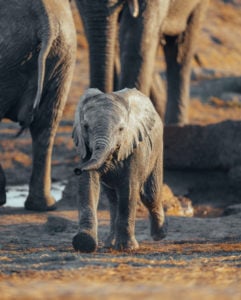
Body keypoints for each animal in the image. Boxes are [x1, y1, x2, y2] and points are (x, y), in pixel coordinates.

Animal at [70, 88, 167, 252]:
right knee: (113, 199)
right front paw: (84, 242)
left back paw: (159, 236)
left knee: (150, 195)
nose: (77, 169)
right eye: (85, 127)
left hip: (157, 147)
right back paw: (110, 243)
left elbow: (128, 189)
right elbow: (88, 185)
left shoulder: (135, 146)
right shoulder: (86, 148)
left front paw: (127, 248)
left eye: (121, 129)